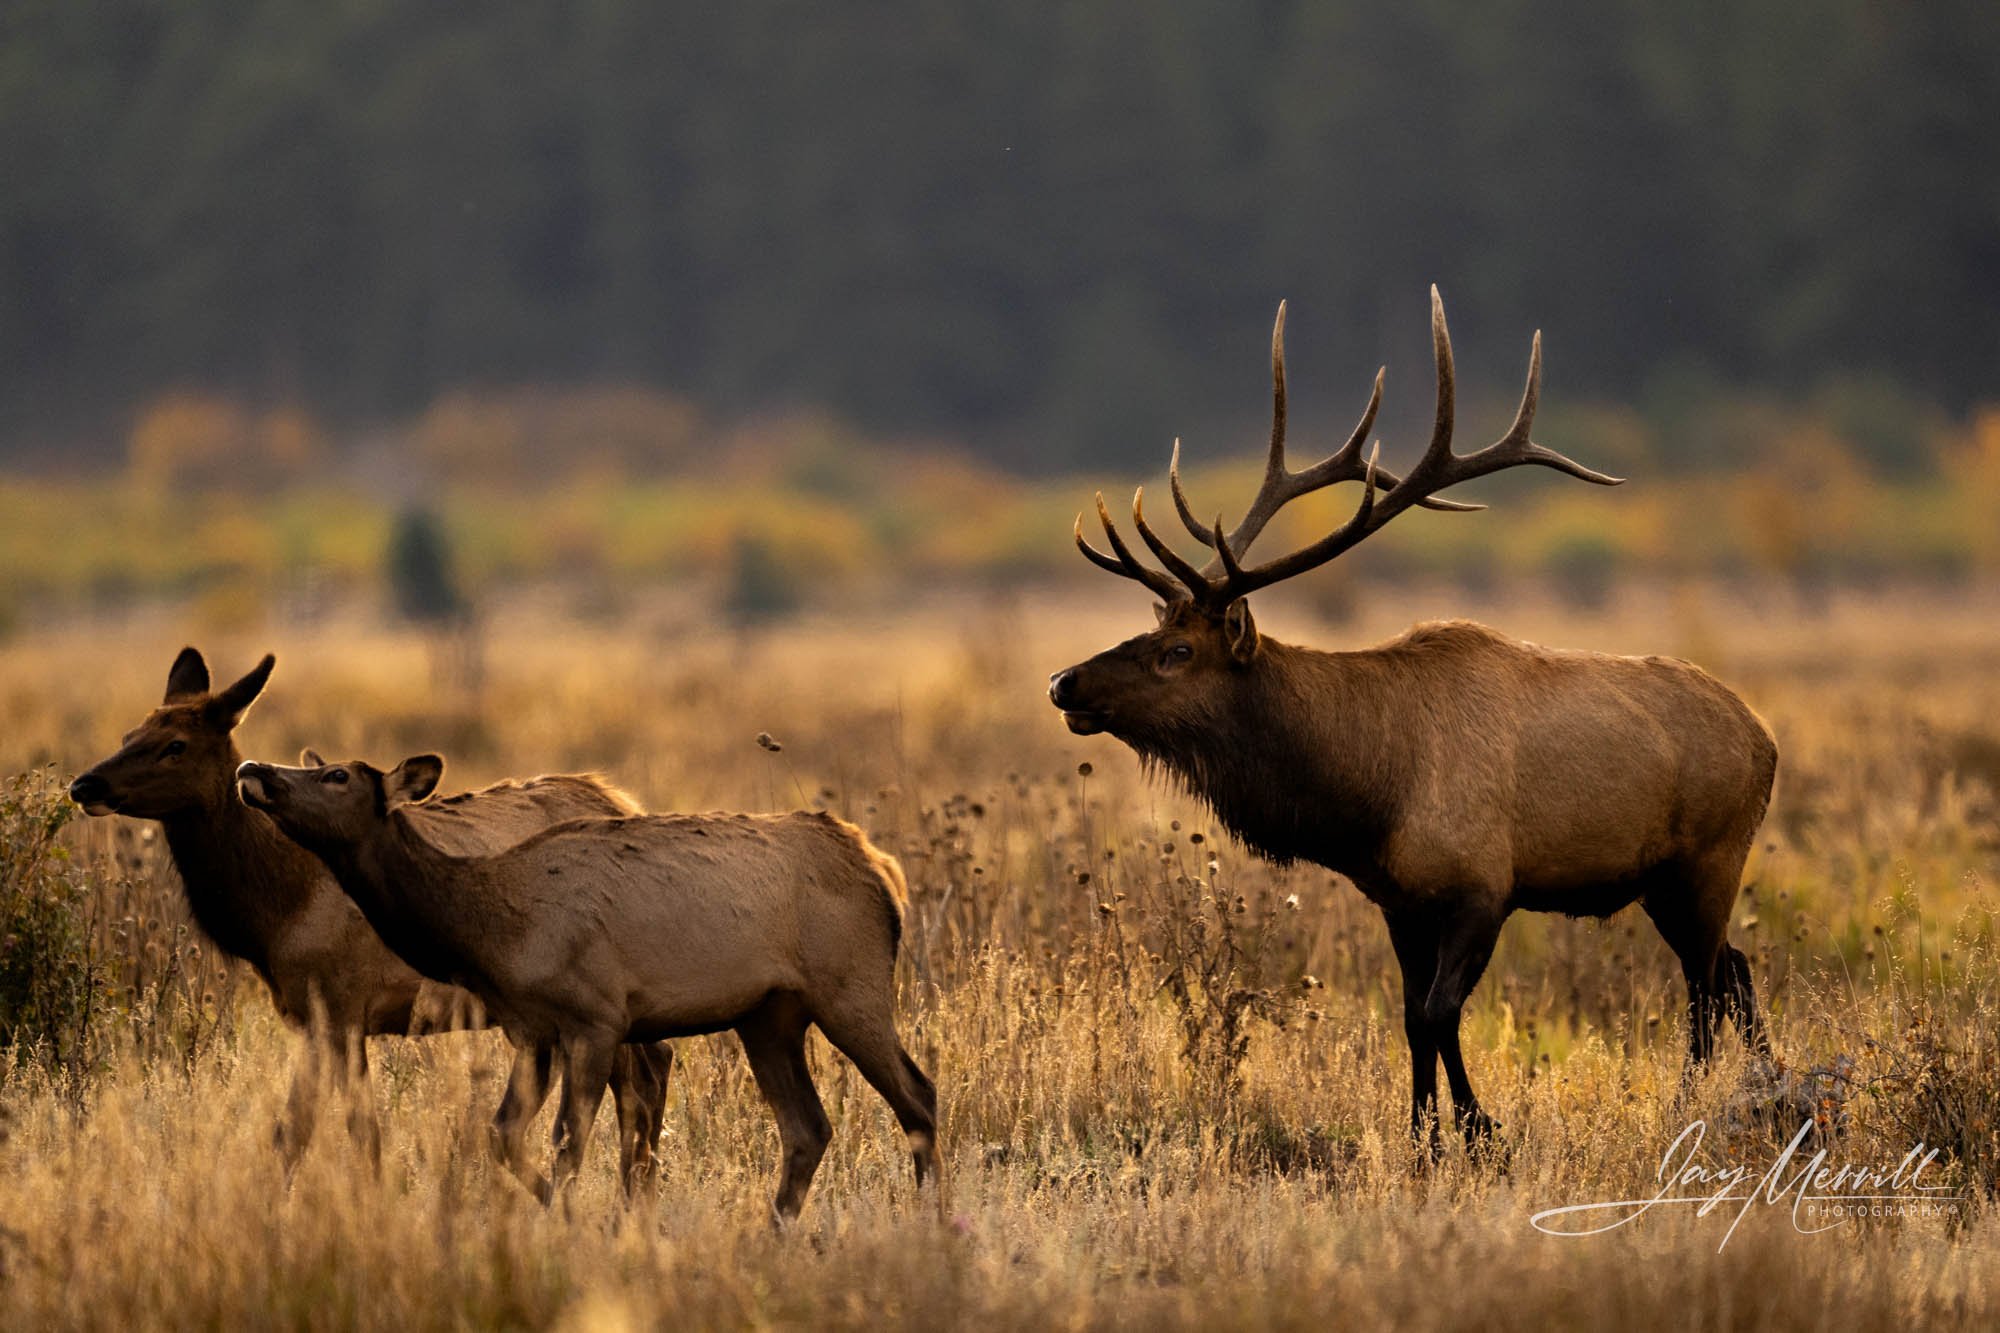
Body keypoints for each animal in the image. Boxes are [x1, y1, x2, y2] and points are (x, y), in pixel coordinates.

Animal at [68, 649, 675, 1190]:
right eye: (128, 735)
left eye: (176, 745)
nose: (84, 784)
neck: (277, 912)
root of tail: (624, 801)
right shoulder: (312, 1016)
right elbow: (291, 1134)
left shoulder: (344, 1004)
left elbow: (356, 1132)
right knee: (654, 1064)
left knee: (640, 1081)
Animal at [233, 751, 937, 1219]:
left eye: (337, 775)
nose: (252, 768)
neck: (488, 927)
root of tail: (885, 872)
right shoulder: (532, 1031)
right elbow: (502, 1133)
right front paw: (563, 1213)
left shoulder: (597, 1018)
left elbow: (568, 1141)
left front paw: (573, 1221)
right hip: (769, 1016)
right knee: (807, 1127)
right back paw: (774, 1231)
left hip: (851, 986)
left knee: (917, 1094)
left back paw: (928, 1223)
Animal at [1048, 288, 1776, 1149]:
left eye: (1178, 650)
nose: (1063, 680)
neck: (1371, 795)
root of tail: (1765, 738)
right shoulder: (1399, 897)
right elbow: (1408, 1017)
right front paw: (1423, 1134)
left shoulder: (1483, 885)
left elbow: (1439, 1012)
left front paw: (1478, 1127)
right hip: (1666, 879)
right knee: (1735, 969)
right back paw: (1764, 1087)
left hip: (1711, 855)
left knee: (1705, 983)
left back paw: (1692, 1105)